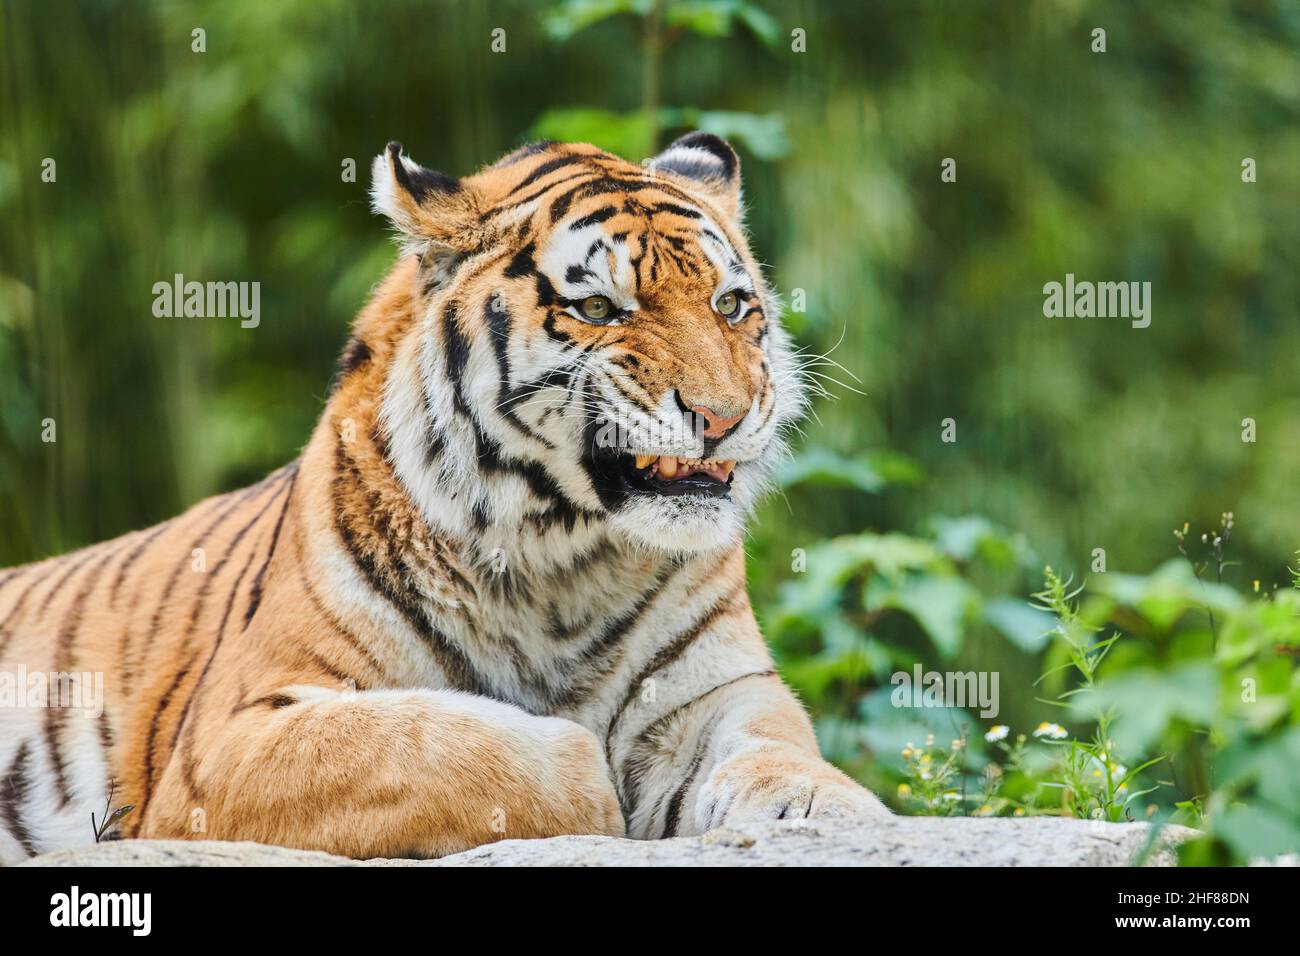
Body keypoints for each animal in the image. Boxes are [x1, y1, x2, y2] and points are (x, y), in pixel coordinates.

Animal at [0, 133, 888, 863]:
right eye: (599, 308)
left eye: (730, 304)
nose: (725, 416)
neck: (567, 556)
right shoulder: (231, 736)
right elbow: (453, 745)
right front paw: (591, 786)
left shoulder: (715, 692)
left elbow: (779, 749)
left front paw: (829, 809)